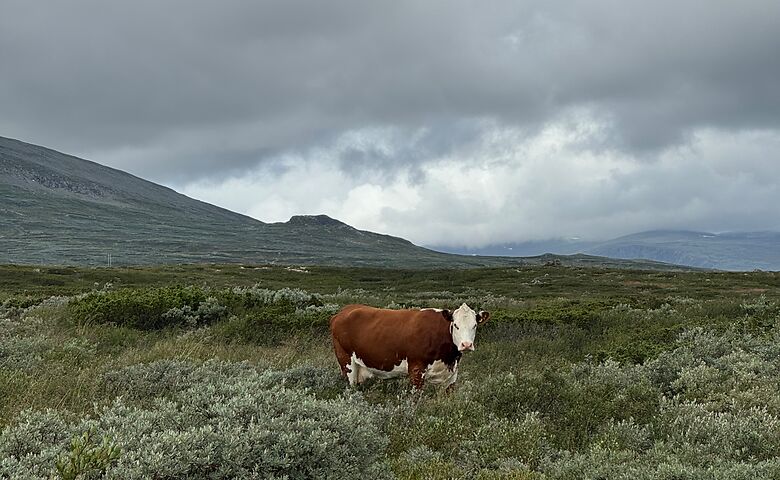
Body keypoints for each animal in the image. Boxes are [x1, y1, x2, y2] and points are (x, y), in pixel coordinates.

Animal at [330, 303, 490, 390]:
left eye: (475, 325)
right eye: (456, 325)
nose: (466, 345)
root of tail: (342, 312)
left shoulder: (452, 375)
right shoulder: (416, 369)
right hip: (346, 362)